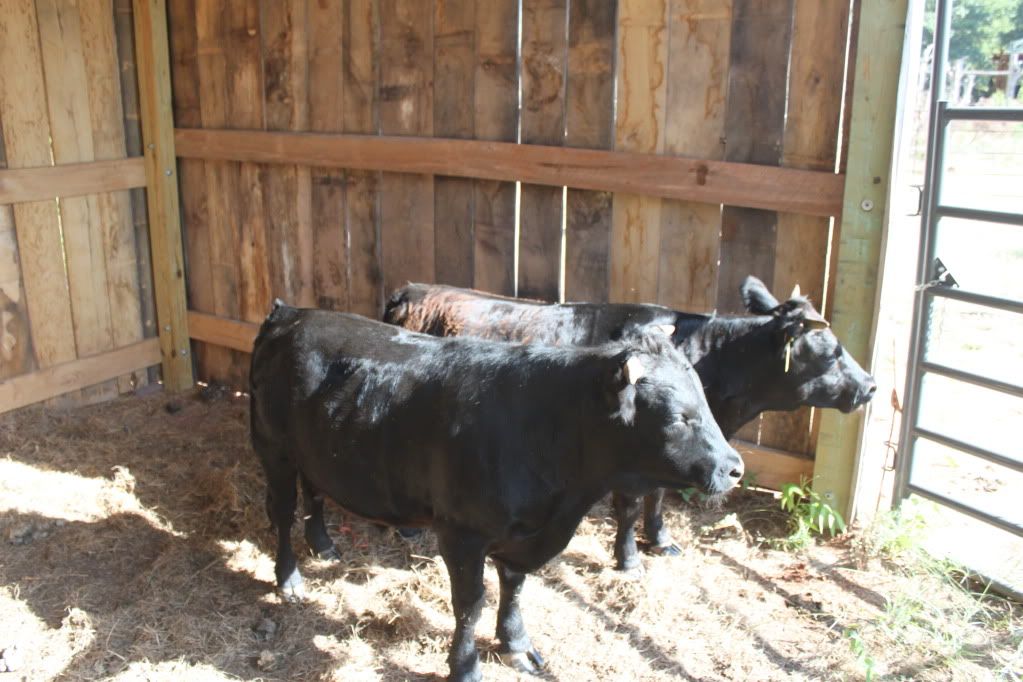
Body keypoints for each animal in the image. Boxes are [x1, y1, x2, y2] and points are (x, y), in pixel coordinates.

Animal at [249, 302, 743, 682]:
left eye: (704, 402)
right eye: (678, 416)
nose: (734, 468)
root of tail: (292, 313)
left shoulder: (524, 536)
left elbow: (515, 587)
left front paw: (516, 644)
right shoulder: (462, 533)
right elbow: (470, 604)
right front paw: (465, 667)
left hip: (315, 451)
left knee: (314, 493)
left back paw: (323, 545)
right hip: (274, 449)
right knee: (282, 511)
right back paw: (289, 578)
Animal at [383, 276, 877, 570]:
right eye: (832, 352)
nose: (870, 386)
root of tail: (409, 291)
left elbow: (657, 501)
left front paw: (660, 541)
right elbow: (631, 507)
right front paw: (629, 559)